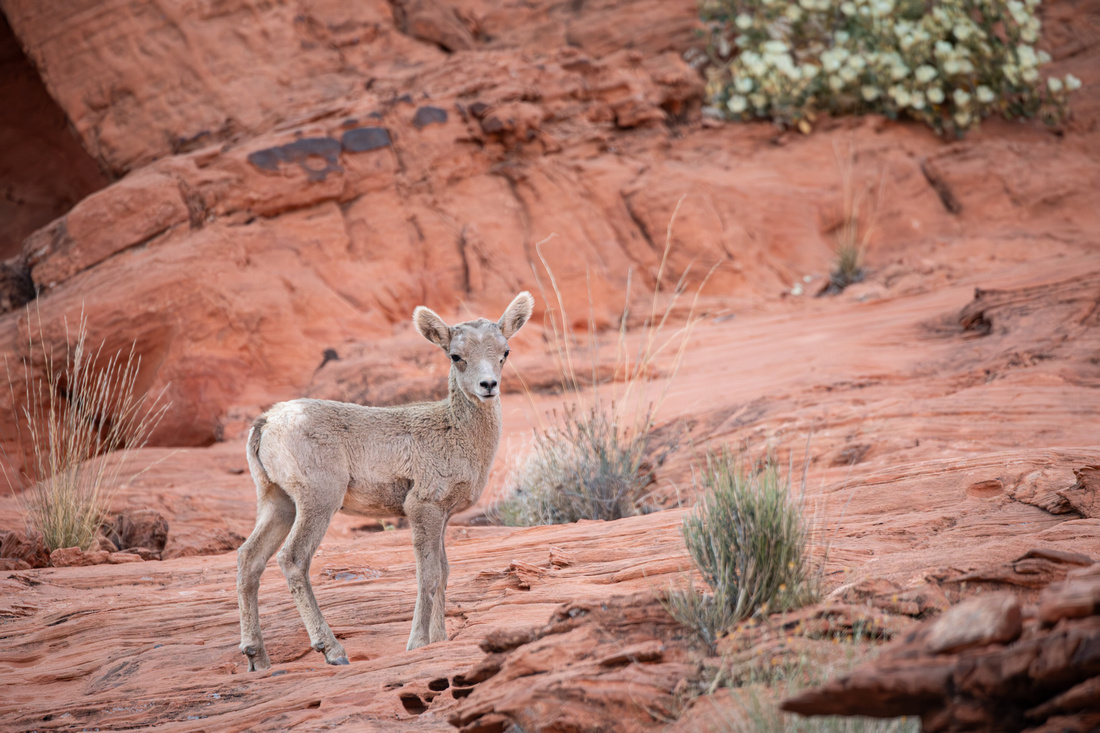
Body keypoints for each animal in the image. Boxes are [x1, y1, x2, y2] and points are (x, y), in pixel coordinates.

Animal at [237, 290, 536, 669]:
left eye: (505, 351)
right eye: (456, 356)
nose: (488, 386)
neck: (456, 433)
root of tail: (266, 423)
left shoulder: (443, 514)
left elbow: (444, 571)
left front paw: (440, 639)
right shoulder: (422, 506)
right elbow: (428, 576)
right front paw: (417, 644)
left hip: (277, 501)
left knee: (249, 558)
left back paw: (257, 657)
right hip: (318, 499)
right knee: (293, 559)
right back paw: (332, 651)